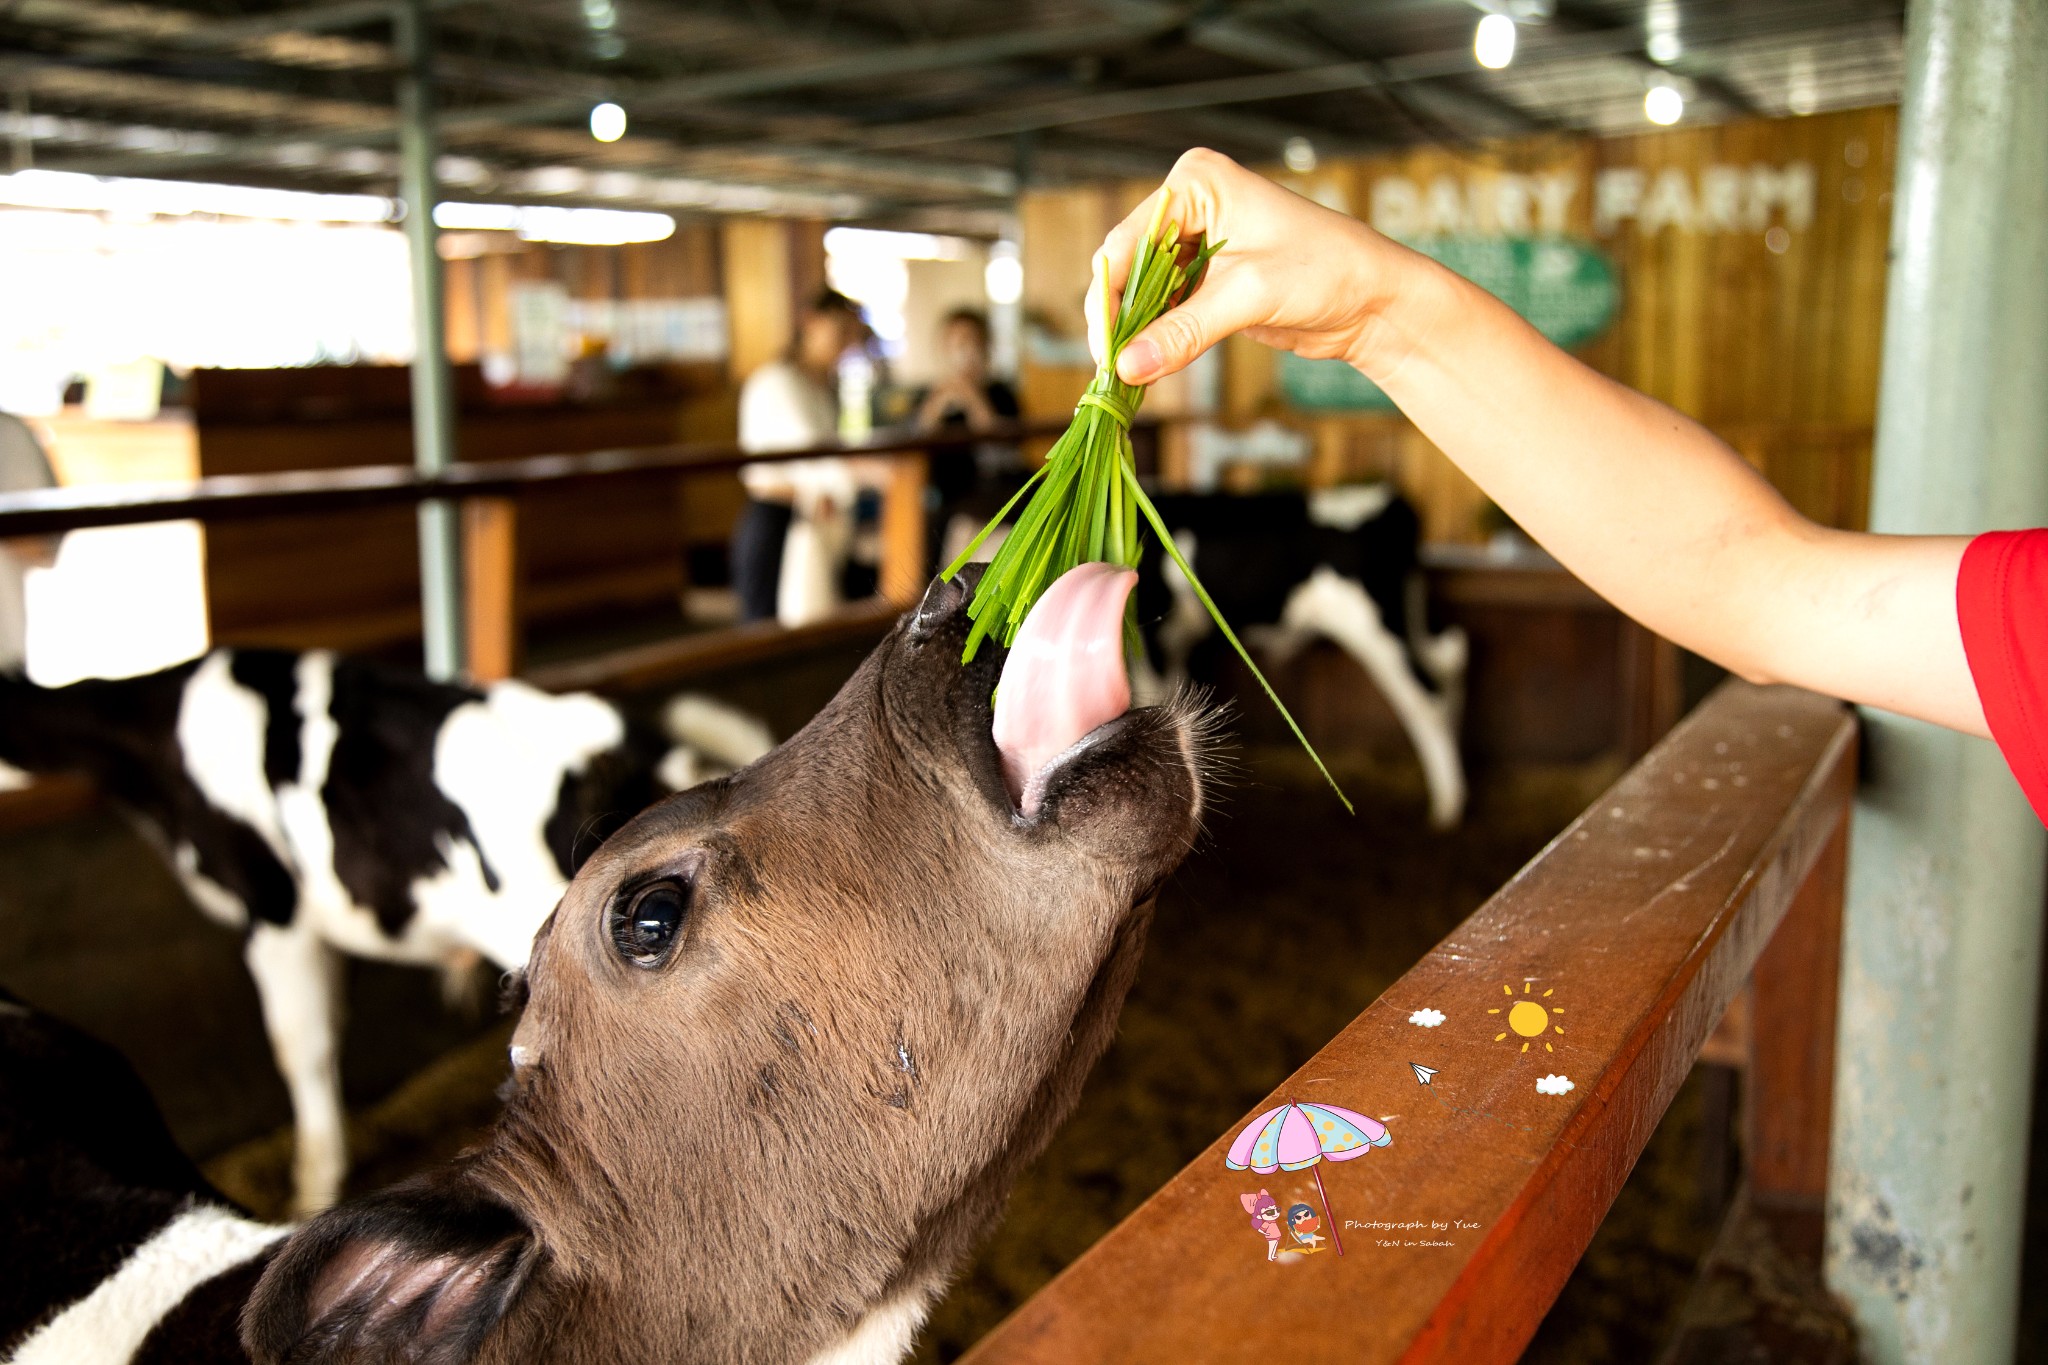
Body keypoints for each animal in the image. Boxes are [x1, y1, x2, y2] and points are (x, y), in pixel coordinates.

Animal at [1130, 491, 1466, 834]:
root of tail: (1389, 500)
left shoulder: (1154, 641)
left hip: (1375, 631)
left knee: (1426, 703)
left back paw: (1447, 806)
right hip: (1409, 619)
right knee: (1450, 659)